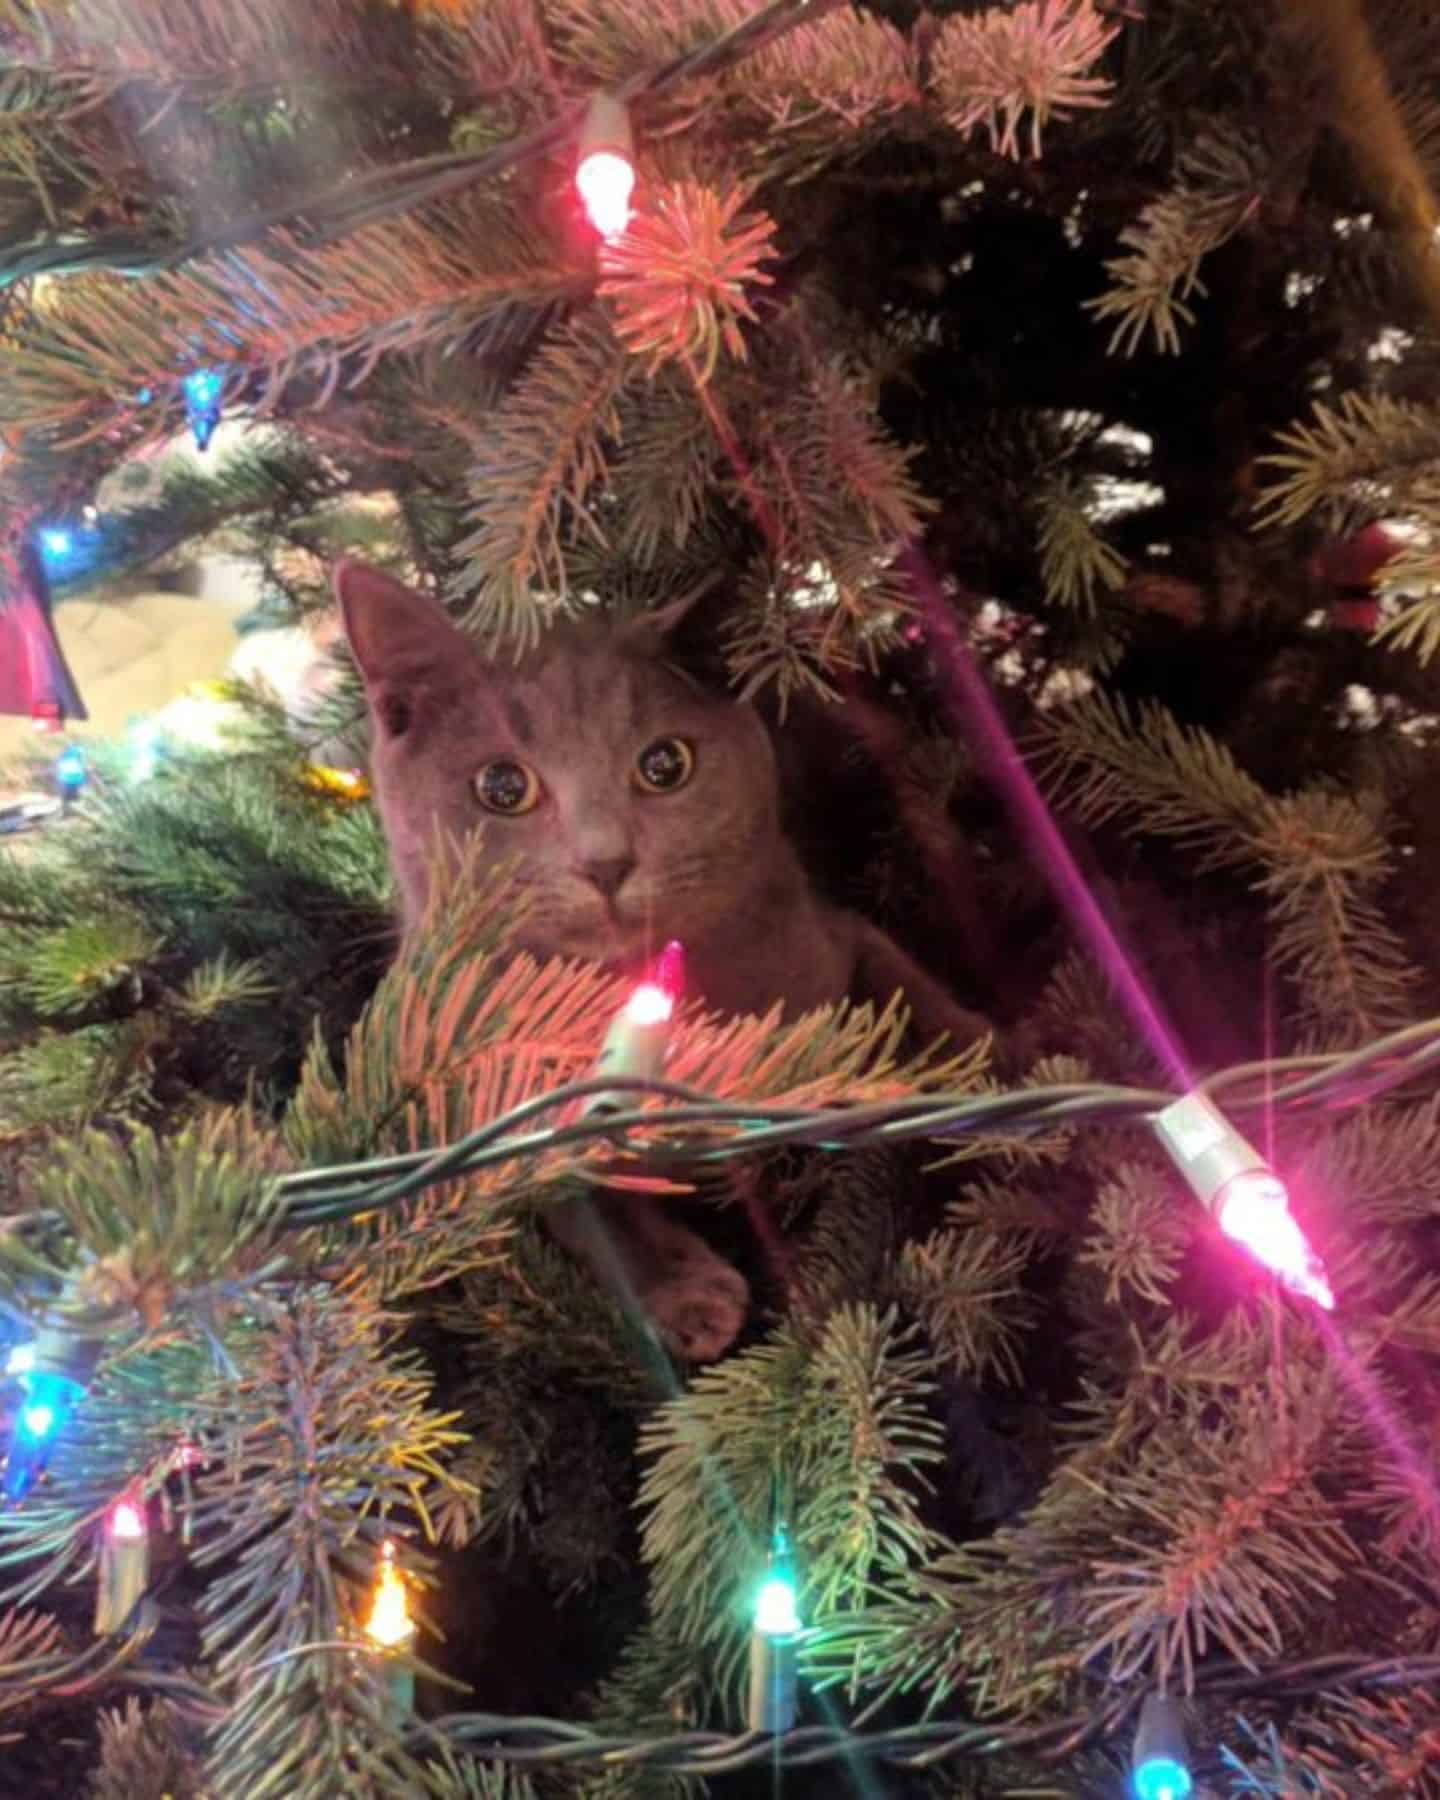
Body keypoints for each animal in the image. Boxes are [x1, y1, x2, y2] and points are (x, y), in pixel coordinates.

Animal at [338, 561, 993, 1360]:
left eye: (664, 765)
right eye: (502, 787)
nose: (605, 862)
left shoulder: (826, 935)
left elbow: (904, 991)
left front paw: (1000, 1067)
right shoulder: (497, 1118)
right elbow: (593, 1209)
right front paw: (685, 1295)